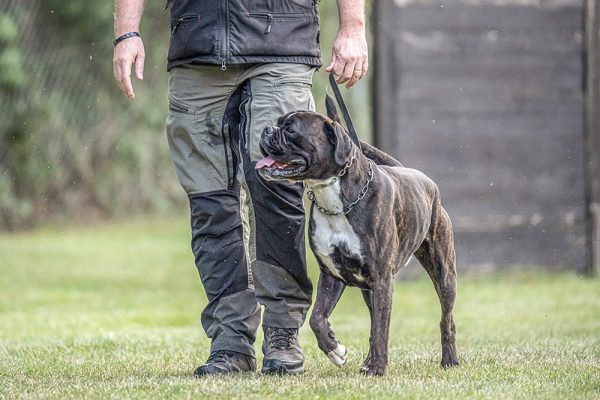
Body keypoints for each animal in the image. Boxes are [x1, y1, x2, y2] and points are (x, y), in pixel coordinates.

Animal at [254, 97, 460, 376]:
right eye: (278, 123)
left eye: (291, 130)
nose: (266, 130)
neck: (335, 199)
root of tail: (417, 175)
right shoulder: (332, 275)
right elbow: (317, 318)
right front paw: (335, 350)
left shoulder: (383, 280)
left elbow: (381, 328)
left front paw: (378, 368)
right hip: (368, 289)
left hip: (443, 274)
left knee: (446, 319)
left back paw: (449, 360)